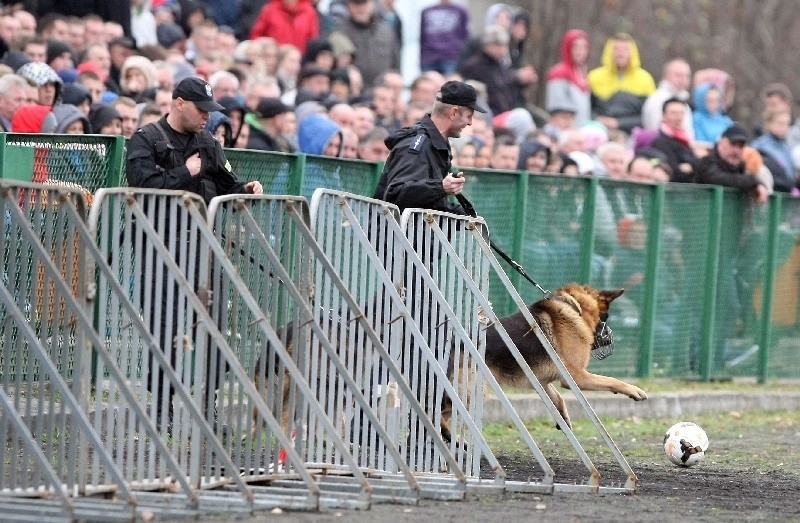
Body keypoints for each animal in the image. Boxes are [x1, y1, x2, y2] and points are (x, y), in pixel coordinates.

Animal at [440, 284, 648, 440]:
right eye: (606, 318)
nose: (611, 340)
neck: (576, 309)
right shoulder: (578, 377)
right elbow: (612, 380)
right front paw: (634, 390)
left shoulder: (541, 380)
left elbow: (558, 397)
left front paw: (563, 418)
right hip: (473, 391)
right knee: (438, 412)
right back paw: (452, 438)